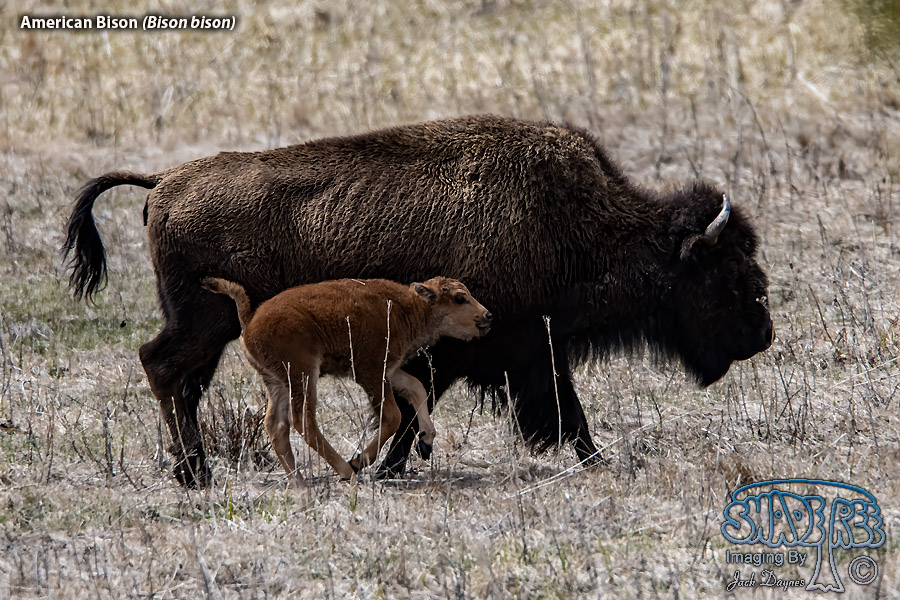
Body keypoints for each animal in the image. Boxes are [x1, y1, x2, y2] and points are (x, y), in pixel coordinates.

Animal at [63, 115, 773, 487]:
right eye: (727, 271)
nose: (762, 333)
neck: (576, 225)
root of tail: (164, 181)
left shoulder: (523, 348)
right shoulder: (487, 348)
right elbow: (427, 407)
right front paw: (387, 466)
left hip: (212, 328)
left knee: (182, 380)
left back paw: (197, 470)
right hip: (203, 322)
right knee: (163, 367)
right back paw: (195, 474)